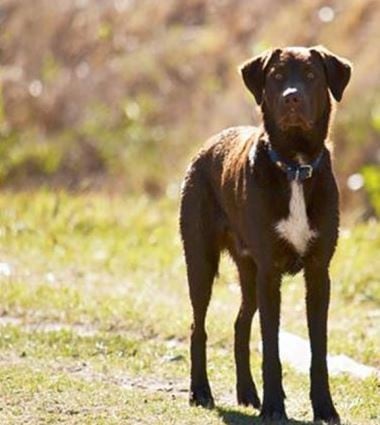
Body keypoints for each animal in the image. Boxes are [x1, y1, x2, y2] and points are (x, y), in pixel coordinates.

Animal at [180, 45, 352, 420]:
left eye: (311, 76)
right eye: (276, 76)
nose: (292, 98)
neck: (296, 167)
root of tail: (207, 145)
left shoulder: (318, 273)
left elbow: (319, 349)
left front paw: (324, 407)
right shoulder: (270, 273)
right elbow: (271, 347)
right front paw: (275, 407)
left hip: (249, 271)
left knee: (240, 324)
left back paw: (247, 392)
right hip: (201, 261)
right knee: (198, 326)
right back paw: (201, 392)